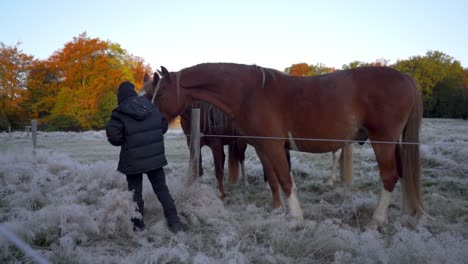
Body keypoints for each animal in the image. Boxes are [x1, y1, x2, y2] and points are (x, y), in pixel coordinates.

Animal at [141, 64, 422, 229]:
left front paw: (296, 217)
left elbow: (286, 180)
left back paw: (377, 220)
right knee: (403, 173)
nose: (152, 121)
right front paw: (276, 210)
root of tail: (406, 76)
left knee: (389, 177)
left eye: (160, 93)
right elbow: (274, 179)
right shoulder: (262, 148)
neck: (249, 92)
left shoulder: (274, 146)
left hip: (383, 142)